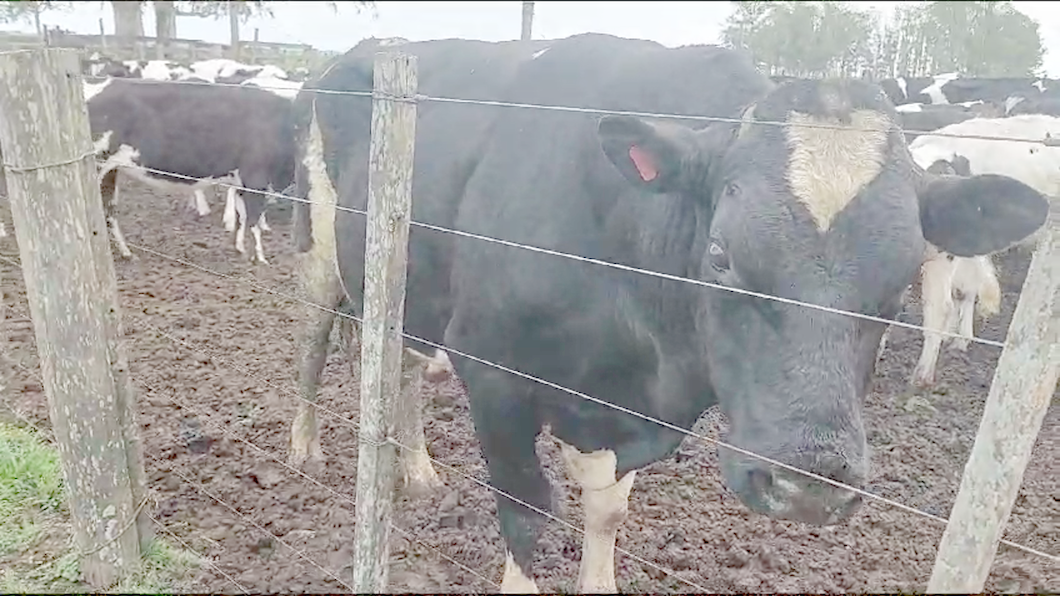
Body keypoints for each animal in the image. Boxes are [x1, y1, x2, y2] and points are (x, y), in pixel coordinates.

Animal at [84, 76, 294, 261]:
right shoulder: (255, 177)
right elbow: (253, 220)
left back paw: (126, 253)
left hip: (110, 170)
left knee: (108, 210)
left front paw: (241, 249)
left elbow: (243, 216)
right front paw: (259, 259)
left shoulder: (242, 182)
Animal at [320, 33, 1043, 589]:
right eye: (720, 255)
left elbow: (606, 514)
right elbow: (527, 516)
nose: (807, 484)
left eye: (899, 283)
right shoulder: (493, 374)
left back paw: (416, 468)